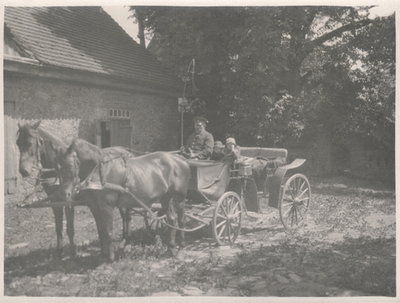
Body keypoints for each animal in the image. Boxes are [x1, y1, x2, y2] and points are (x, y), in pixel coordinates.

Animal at [16, 121, 136, 256]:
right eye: (17, 143)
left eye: (30, 142)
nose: (23, 171)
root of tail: (126, 151)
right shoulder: (55, 201)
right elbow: (58, 226)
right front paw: (59, 251)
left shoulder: (69, 201)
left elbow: (70, 228)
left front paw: (73, 252)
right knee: (124, 214)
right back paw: (124, 239)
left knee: (127, 215)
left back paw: (126, 240)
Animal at [55, 139, 191, 262]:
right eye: (58, 168)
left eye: (71, 166)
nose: (64, 194)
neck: (101, 171)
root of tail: (181, 159)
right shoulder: (94, 206)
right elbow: (101, 230)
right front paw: (103, 254)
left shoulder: (107, 206)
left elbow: (109, 231)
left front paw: (110, 258)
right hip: (165, 198)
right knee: (172, 219)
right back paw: (171, 248)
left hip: (179, 198)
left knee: (181, 219)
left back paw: (181, 247)